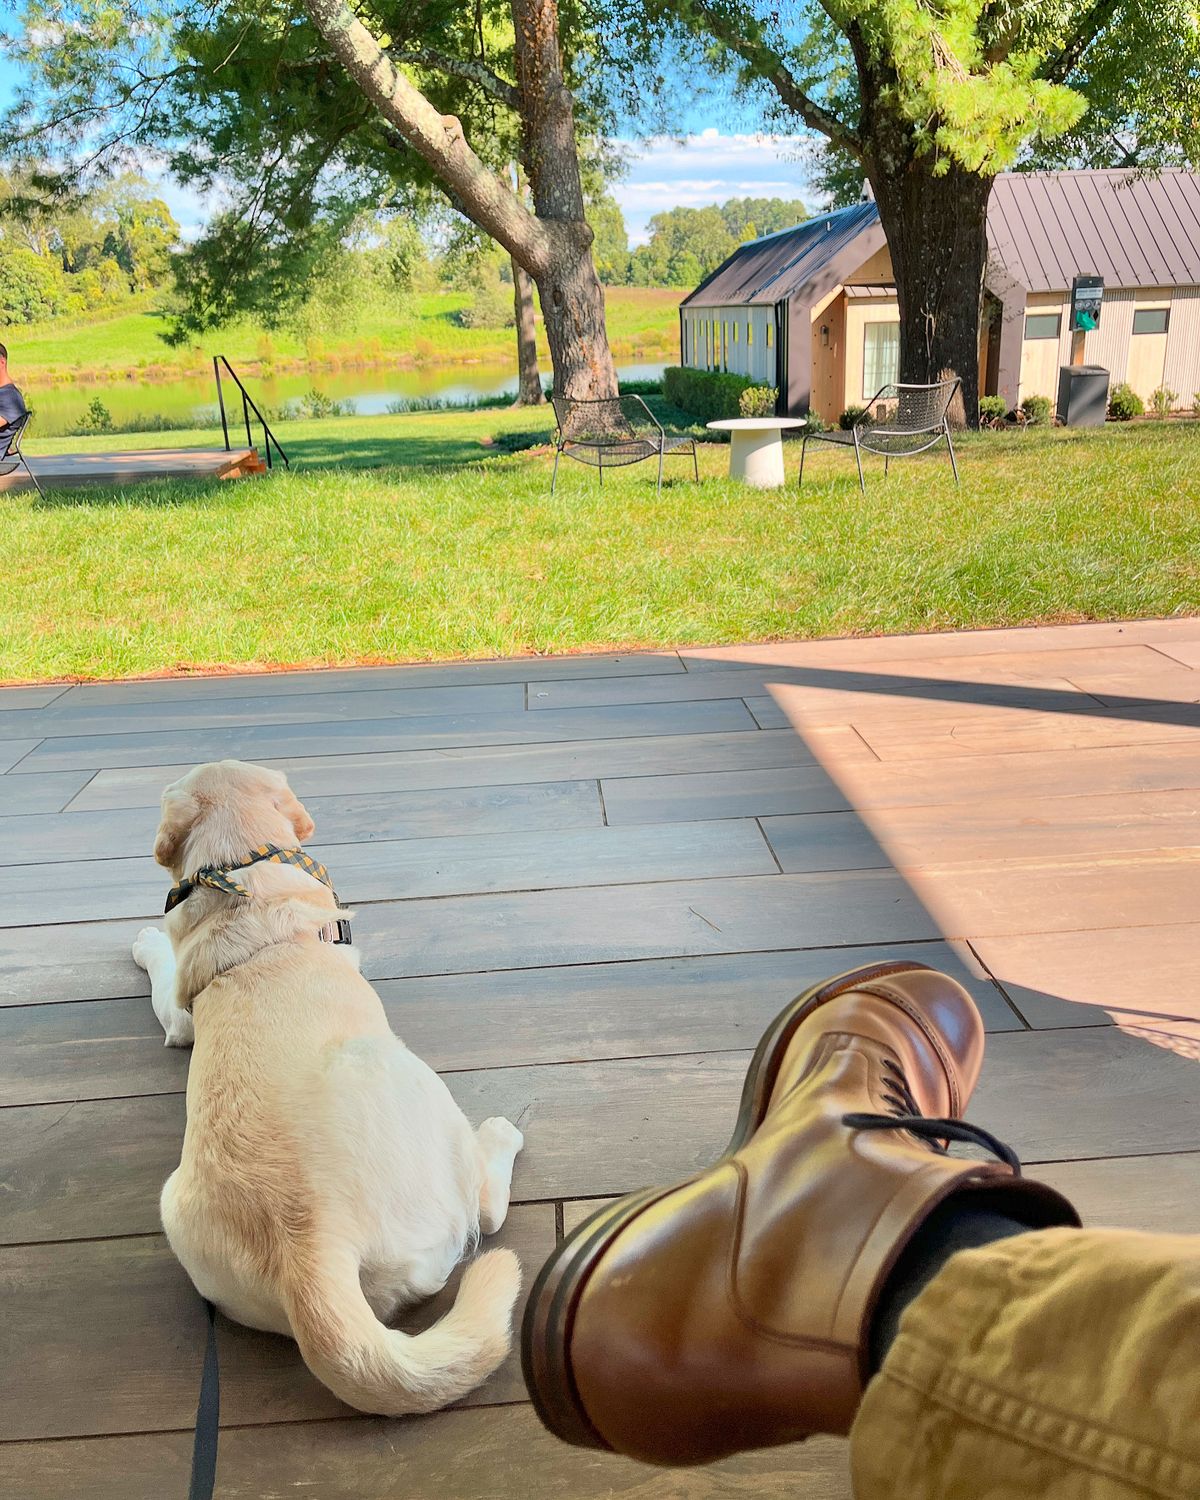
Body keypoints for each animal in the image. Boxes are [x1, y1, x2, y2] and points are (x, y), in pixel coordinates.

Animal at [132, 762, 525, 1416]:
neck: (240, 868)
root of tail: (310, 1252)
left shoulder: (181, 1015)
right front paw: (144, 942)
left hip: (173, 1207)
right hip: (404, 1073)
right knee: (487, 1212)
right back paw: (497, 1137)